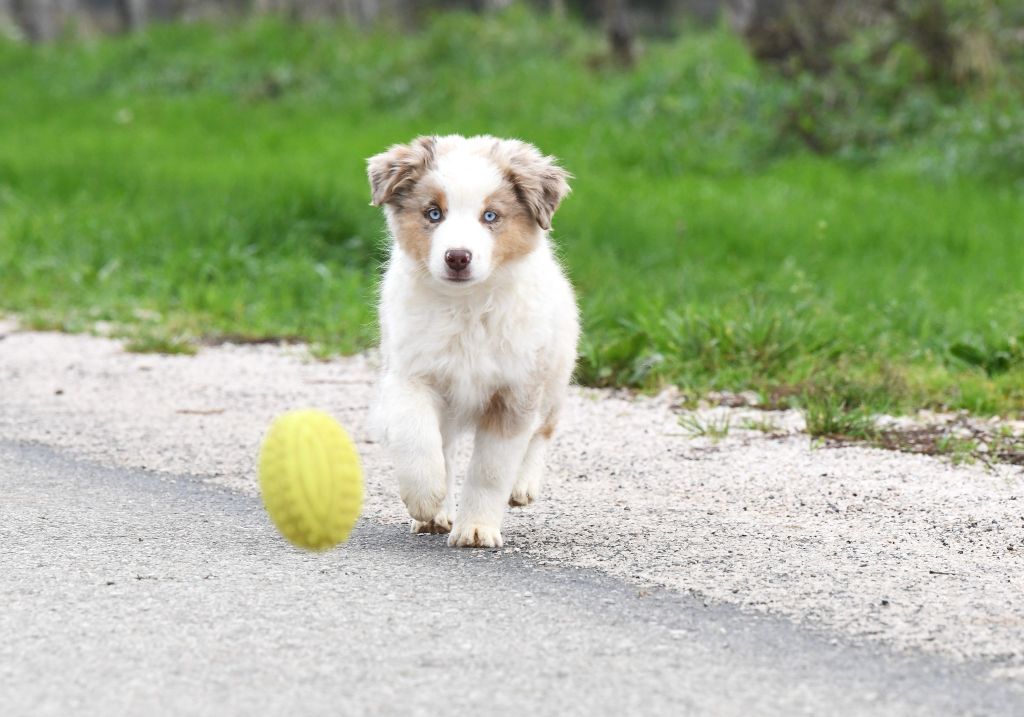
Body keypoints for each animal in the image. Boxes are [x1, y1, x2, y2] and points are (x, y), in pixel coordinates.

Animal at [368, 136, 581, 549]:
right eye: (434, 213)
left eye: (491, 216)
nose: (457, 257)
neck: (466, 307)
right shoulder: (409, 374)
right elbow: (417, 436)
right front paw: (426, 499)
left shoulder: (515, 391)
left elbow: (490, 469)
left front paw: (477, 528)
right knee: (446, 447)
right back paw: (439, 511)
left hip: (555, 369)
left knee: (543, 430)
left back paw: (522, 485)